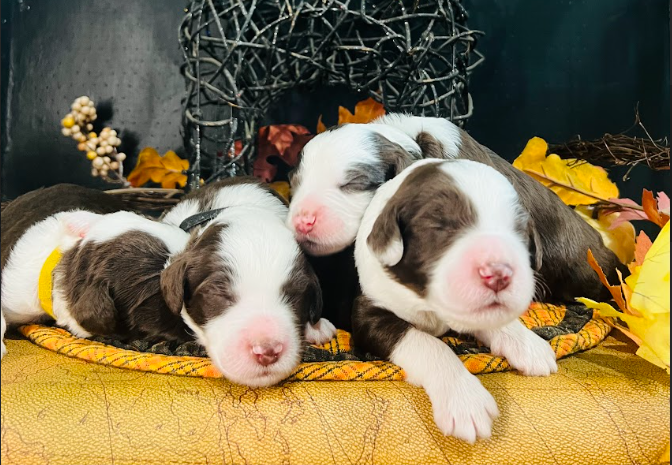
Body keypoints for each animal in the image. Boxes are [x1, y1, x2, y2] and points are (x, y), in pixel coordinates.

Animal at [354, 160, 560, 442]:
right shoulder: (368, 312)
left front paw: (528, 344)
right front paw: (465, 401)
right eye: (440, 226)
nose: (499, 273)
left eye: (519, 231)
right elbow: (428, 343)